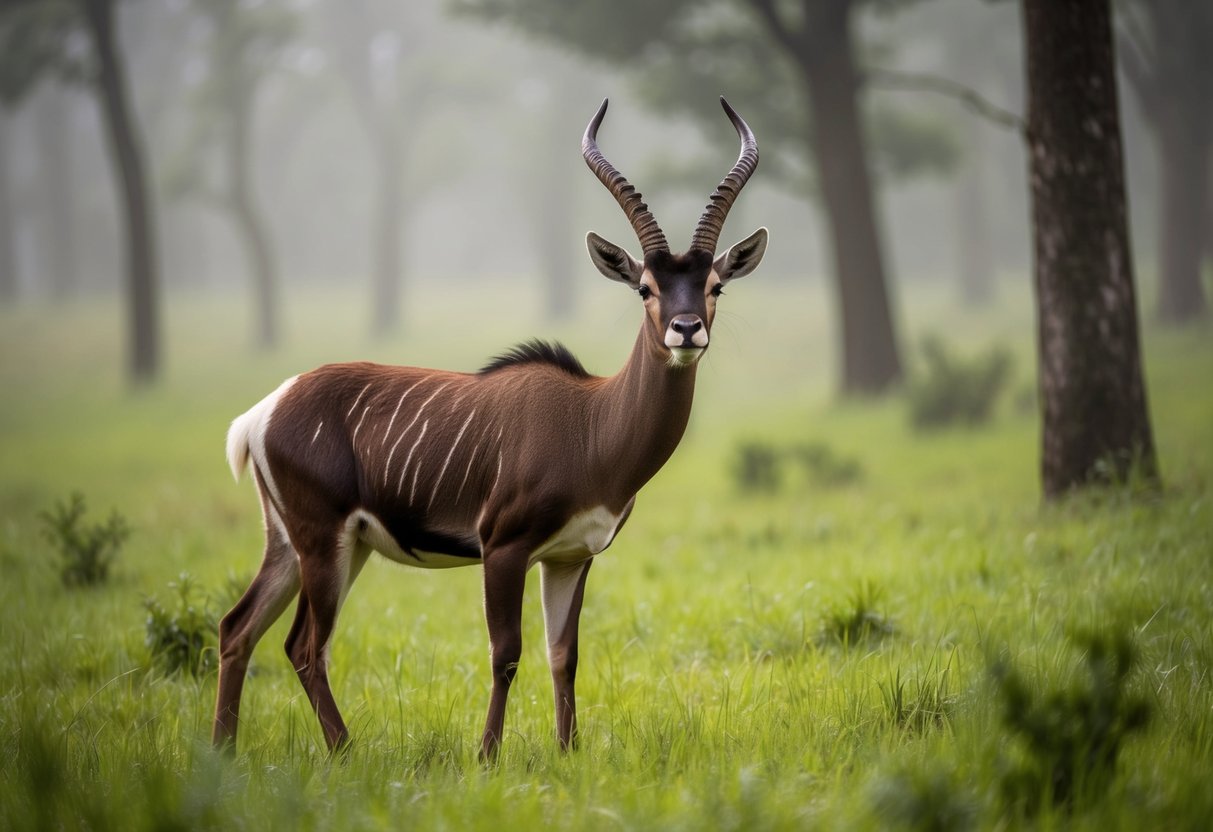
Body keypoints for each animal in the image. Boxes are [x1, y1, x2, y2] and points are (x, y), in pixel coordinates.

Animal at [215, 97, 766, 761]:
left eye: (715, 285)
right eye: (644, 287)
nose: (686, 330)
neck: (590, 424)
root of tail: (265, 410)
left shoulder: (570, 557)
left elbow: (564, 655)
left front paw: (568, 752)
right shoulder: (504, 549)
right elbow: (506, 653)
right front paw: (487, 755)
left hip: (296, 543)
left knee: (237, 628)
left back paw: (222, 752)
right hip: (325, 542)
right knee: (303, 645)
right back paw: (344, 751)